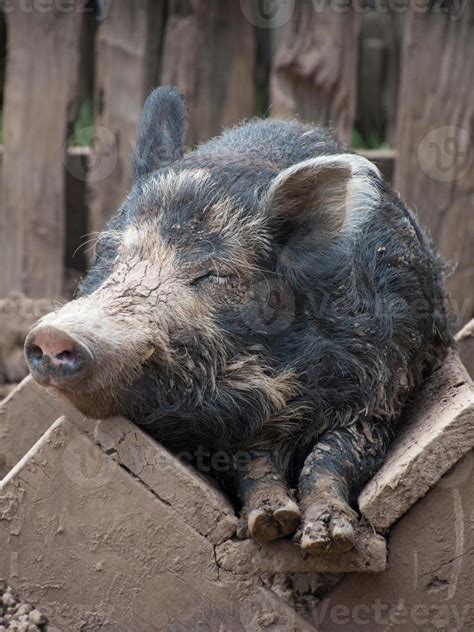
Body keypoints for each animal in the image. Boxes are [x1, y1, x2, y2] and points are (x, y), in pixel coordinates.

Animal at [24, 86, 450, 552]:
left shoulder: (380, 395)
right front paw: (271, 522)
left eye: (211, 274)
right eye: (110, 253)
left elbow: (332, 457)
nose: (54, 334)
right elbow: (252, 463)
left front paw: (328, 540)